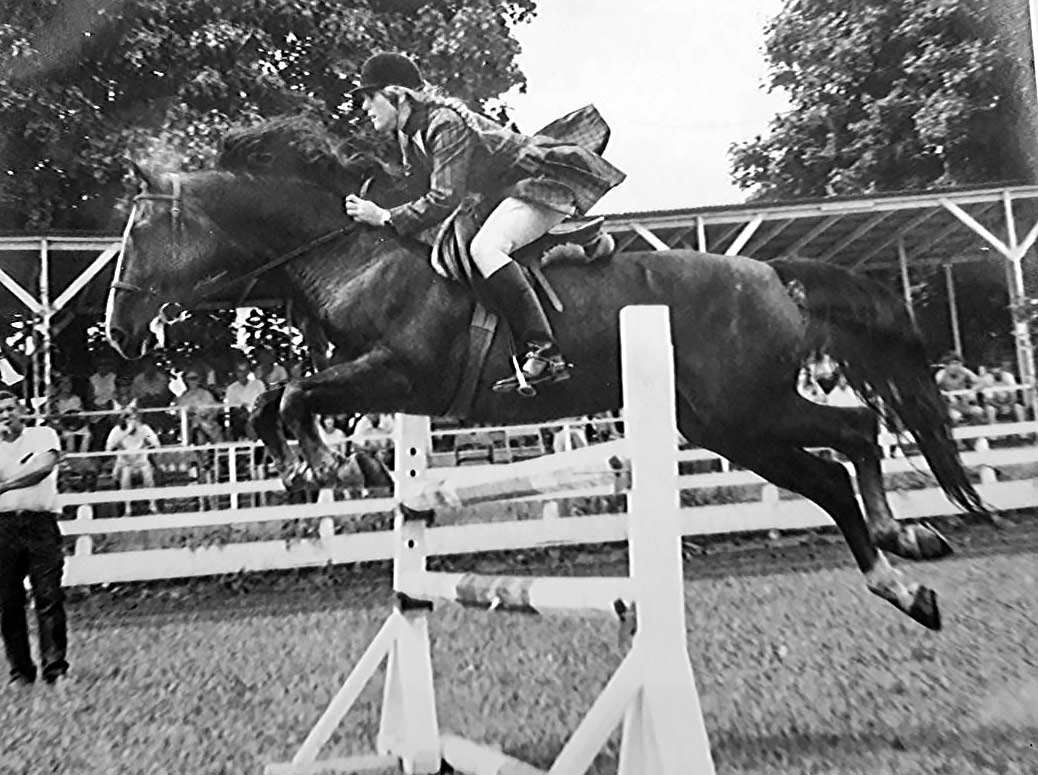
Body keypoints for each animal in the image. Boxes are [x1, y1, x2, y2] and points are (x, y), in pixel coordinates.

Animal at [105, 116, 989, 631]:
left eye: (138, 233)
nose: (116, 334)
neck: (353, 253)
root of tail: (774, 272)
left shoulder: (400, 374)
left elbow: (292, 393)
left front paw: (323, 463)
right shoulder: (372, 378)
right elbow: (275, 401)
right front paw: (308, 468)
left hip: (745, 413)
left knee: (846, 450)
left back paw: (899, 571)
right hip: (726, 423)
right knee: (852, 442)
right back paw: (905, 543)